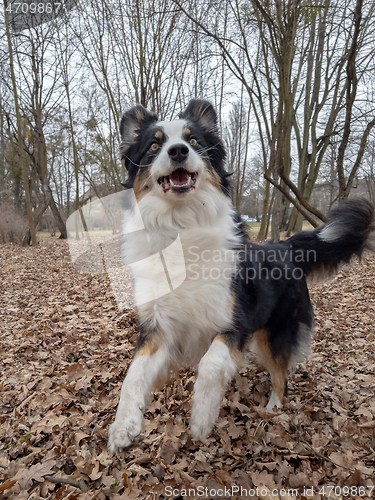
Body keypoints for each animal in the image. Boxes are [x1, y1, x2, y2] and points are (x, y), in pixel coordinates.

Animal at [107, 97, 374, 454]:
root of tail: (282, 246)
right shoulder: (158, 327)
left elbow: (210, 364)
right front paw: (124, 425)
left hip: (273, 336)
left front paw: (202, 416)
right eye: (154, 144)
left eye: (194, 141)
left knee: (281, 377)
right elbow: (132, 375)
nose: (177, 151)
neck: (181, 225)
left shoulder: (235, 321)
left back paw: (273, 409)